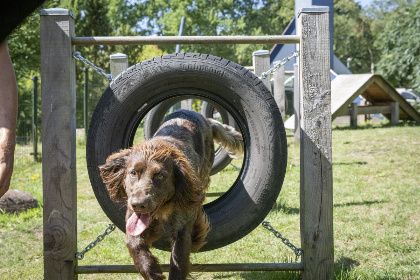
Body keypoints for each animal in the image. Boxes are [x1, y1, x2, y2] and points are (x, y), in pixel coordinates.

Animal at [99, 110, 243, 280]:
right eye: (133, 173)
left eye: (160, 176)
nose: (138, 204)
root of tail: (205, 118)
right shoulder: (132, 222)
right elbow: (134, 245)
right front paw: (152, 270)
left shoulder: (182, 231)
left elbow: (178, 262)